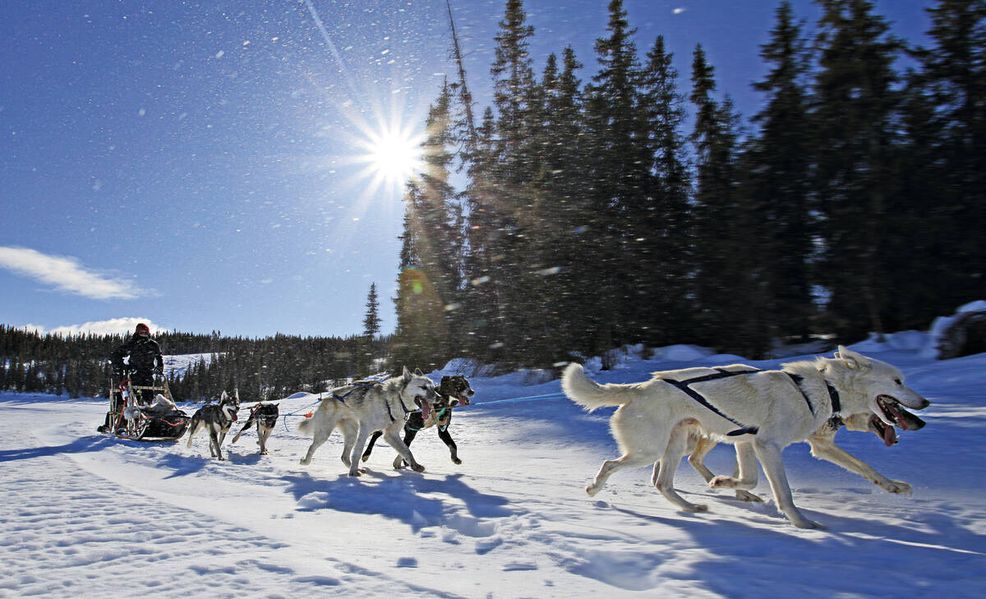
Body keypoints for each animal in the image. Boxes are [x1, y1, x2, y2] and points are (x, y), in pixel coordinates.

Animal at [298, 366, 436, 478]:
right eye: (423, 387)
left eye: (433, 388)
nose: (438, 397)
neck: (393, 400)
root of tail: (328, 397)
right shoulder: (365, 430)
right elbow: (358, 453)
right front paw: (353, 472)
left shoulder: (391, 434)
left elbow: (406, 450)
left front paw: (415, 465)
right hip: (325, 434)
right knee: (312, 447)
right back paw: (306, 461)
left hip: (352, 434)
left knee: (344, 456)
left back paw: (356, 468)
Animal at [564, 346, 928, 528]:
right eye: (898, 381)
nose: (924, 406)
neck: (825, 389)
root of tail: (638, 388)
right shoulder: (767, 445)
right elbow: (782, 493)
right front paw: (802, 523)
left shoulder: (753, 442)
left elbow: (867, 469)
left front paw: (895, 487)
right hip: (649, 450)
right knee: (610, 464)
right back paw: (594, 488)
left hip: (675, 445)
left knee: (662, 482)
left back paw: (693, 506)